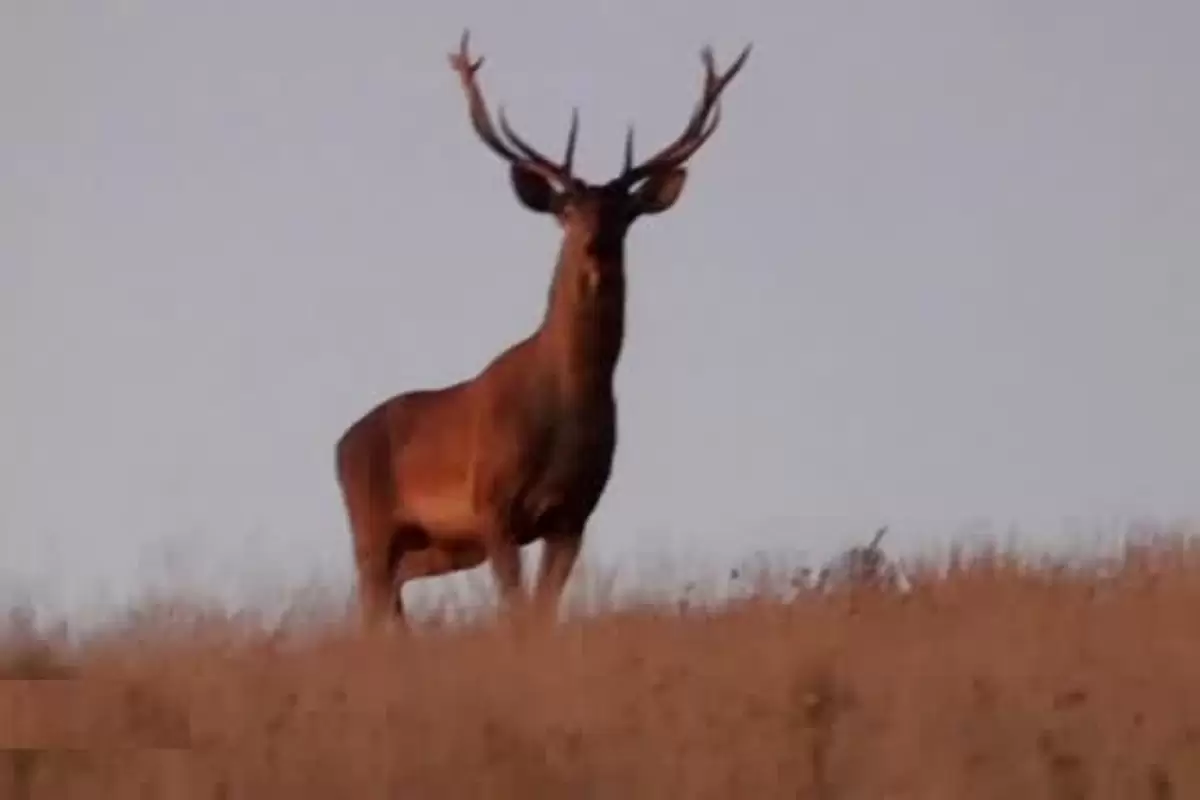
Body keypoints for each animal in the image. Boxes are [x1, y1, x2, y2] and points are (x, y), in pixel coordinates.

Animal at [336, 29, 748, 633]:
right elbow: (514, 609)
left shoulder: (574, 513)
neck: (566, 408)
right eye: (568, 208)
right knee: (369, 604)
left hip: (435, 548)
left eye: (625, 212)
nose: (596, 247)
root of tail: (339, 442)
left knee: (391, 597)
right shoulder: (493, 505)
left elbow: (542, 611)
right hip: (370, 525)